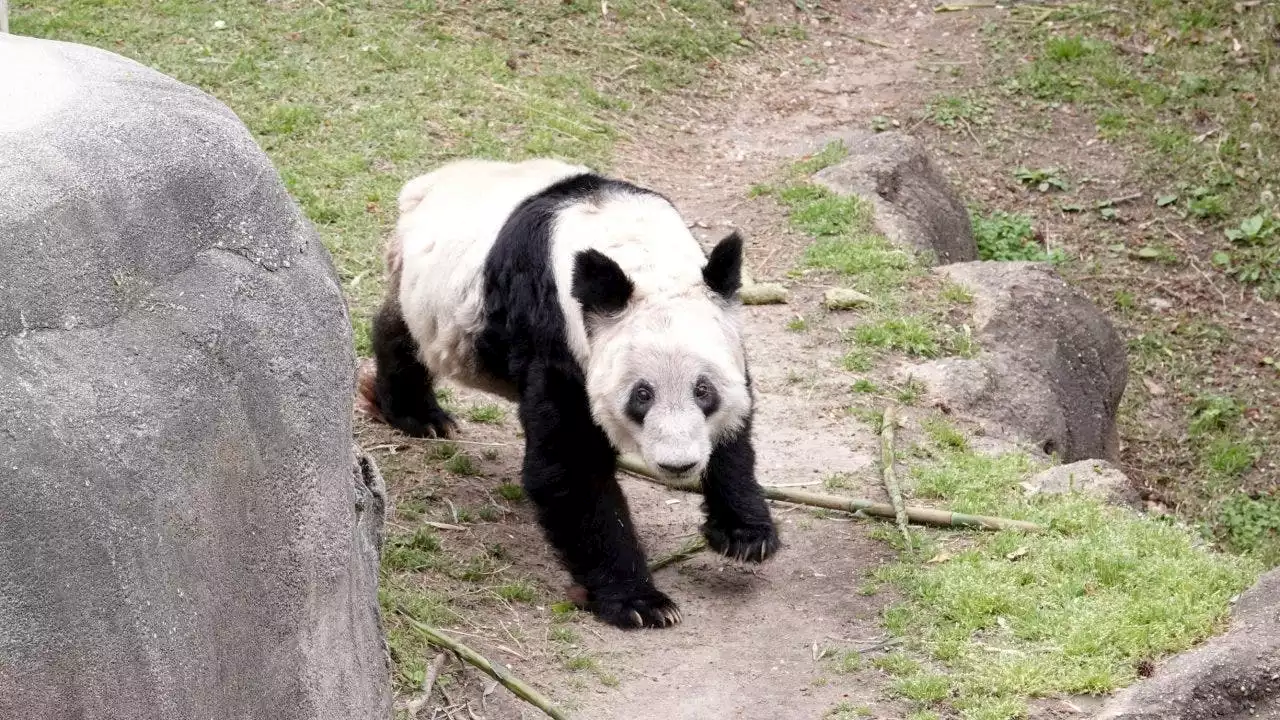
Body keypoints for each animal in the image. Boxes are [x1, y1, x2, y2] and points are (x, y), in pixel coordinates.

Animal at [360, 158, 778, 627]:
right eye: (642, 395)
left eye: (703, 392)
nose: (678, 465)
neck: (637, 250)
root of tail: (428, 183)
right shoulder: (556, 332)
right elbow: (570, 464)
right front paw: (639, 602)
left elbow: (736, 426)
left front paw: (745, 533)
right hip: (428, 294)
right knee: (402, 332)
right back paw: (418, 415)